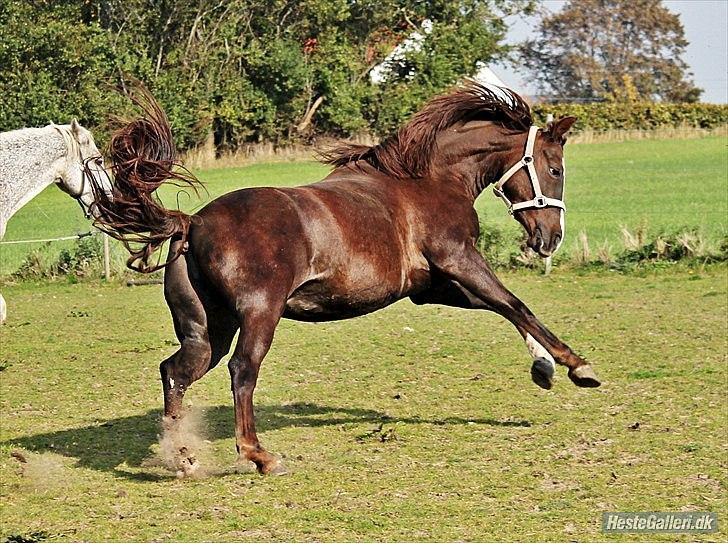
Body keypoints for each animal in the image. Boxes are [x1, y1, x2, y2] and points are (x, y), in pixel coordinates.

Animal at [94, 84, 600, 476]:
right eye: (555, 169)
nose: (550, 238)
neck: (428, 181)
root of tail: (193, 222)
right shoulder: (460, 261)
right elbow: (516, 305)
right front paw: (577, 365)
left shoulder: (430, 289)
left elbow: (504, 309)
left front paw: (544, 367)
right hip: (259, 314)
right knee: (242, 371)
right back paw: (259, 456)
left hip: (207, 330)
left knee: (176, 371)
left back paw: (183, 457)